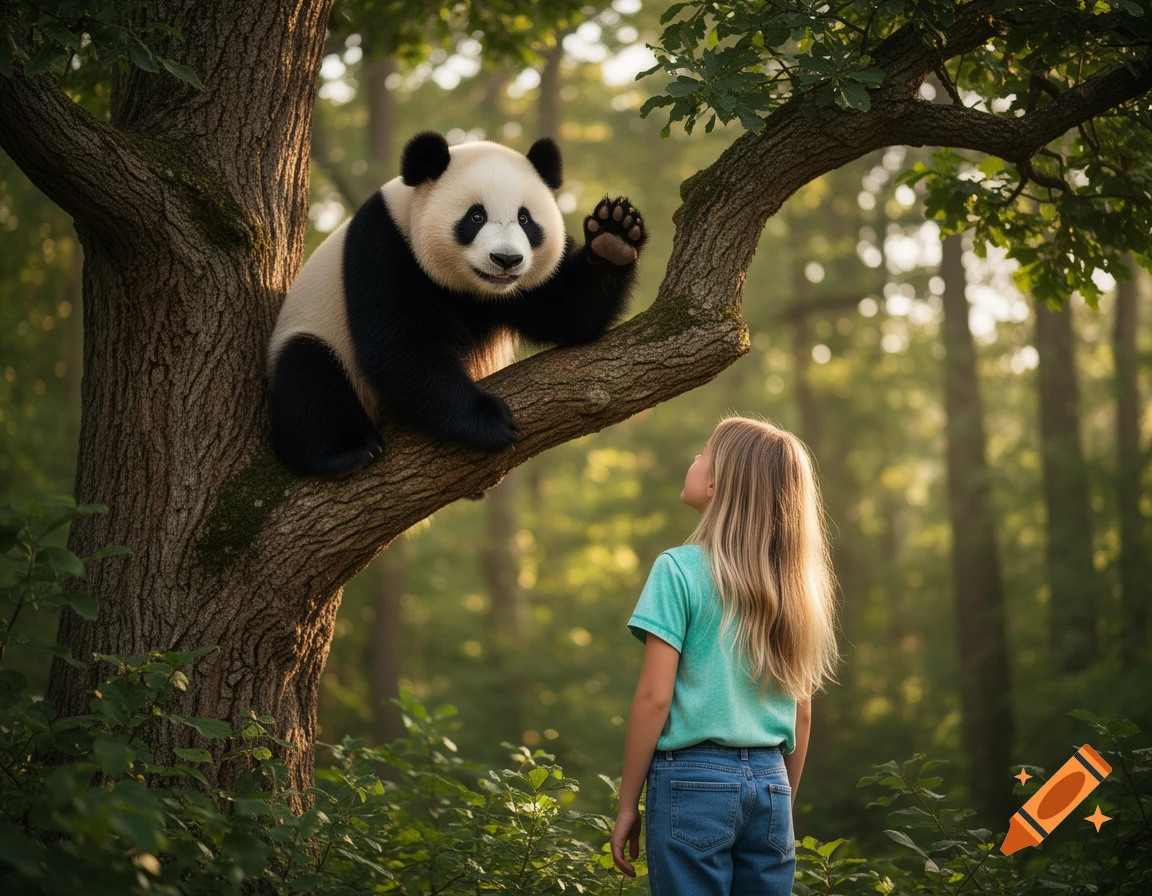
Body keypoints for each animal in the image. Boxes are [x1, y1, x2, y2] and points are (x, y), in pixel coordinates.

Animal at [267, 130, 648, 477]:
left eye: (525, 219)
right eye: (476, 217)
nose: (506, 259)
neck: (475, 289)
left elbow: (568, 312)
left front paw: (615, 236)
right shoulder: (384, 244)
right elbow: (400, 346)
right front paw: (489, 421)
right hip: (317, 333)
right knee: (307, 376)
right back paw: (344, 452)